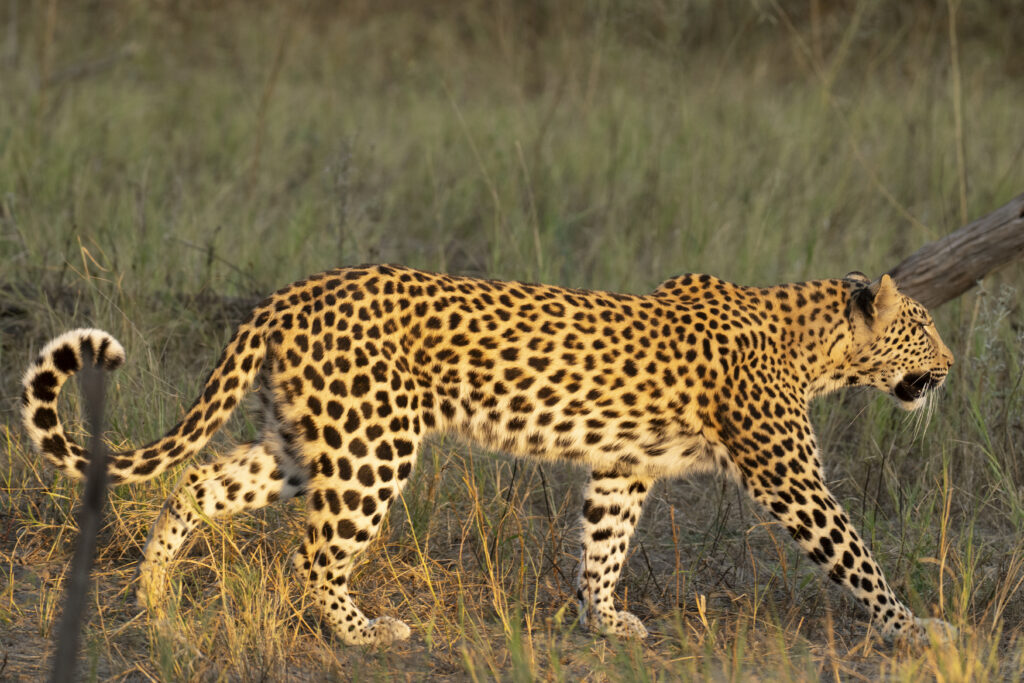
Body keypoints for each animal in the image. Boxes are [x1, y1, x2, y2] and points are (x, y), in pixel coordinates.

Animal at [22, 264, 956, 645]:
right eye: (924, 329)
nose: (950, 367)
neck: (814, 343)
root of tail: (290, 293)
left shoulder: (624, 467)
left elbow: (603, 543)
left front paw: (601, 618)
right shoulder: (789, 476)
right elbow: (856, 553)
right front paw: (915, 629)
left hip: (307, 440)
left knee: (197, 479)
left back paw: (154, 598)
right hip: (374, 445)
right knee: (313, 554)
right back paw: (365, 633)